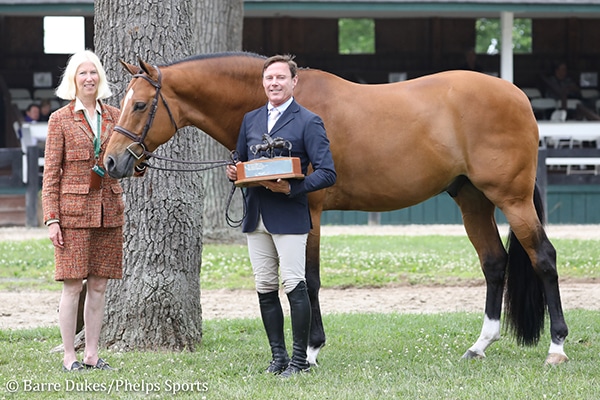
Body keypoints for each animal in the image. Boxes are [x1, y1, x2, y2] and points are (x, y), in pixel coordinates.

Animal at [105, 52, 568, 366]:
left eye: (140, 105)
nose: (111, 161)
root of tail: (516, 95)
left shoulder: (307, 209)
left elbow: (307, 279)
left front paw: (310, 350)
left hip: (511, 198)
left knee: (543, 258)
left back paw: (557, 346)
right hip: (472, 200)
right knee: (494, 263)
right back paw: (480, 344)